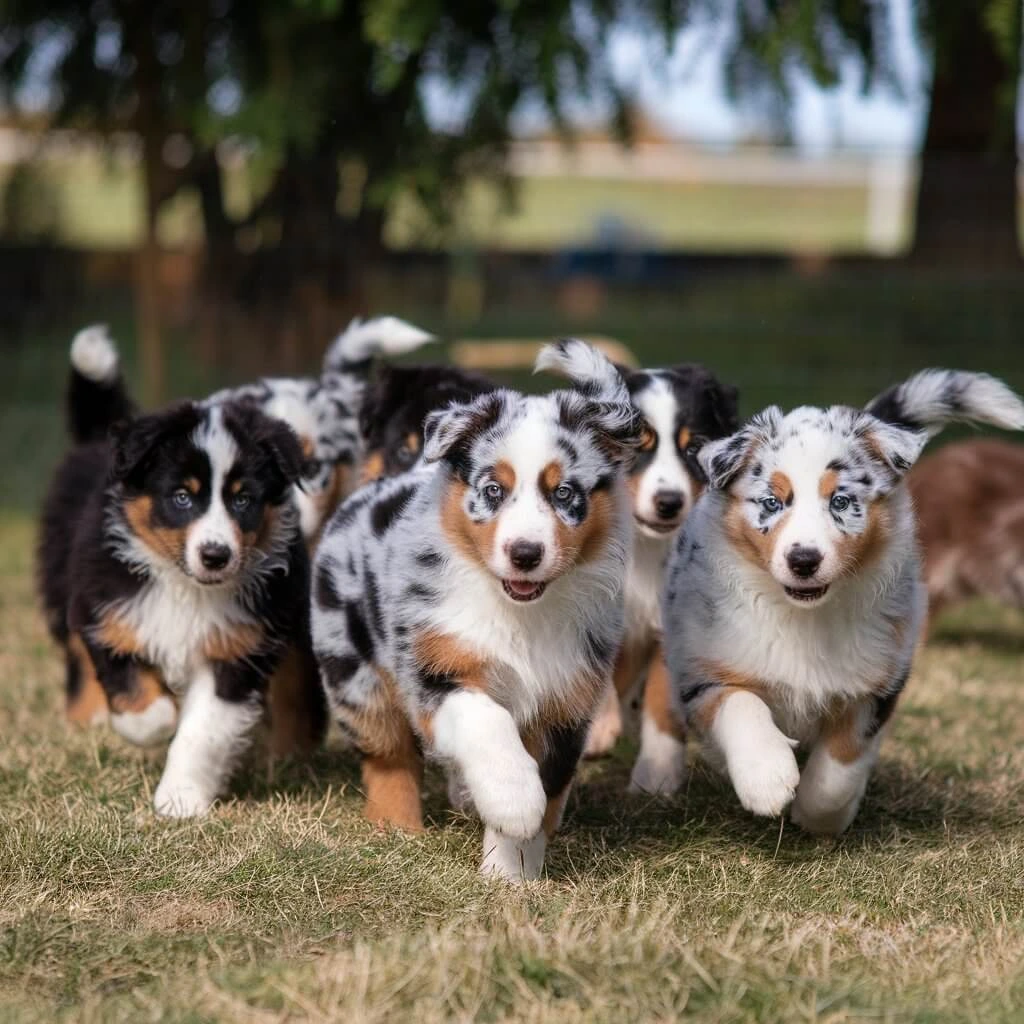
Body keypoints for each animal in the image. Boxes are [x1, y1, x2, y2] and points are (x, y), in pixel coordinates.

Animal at [38, 368, 323, 815]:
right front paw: (162, 718)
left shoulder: (238, 648)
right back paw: (89, 718)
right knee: (76, 657)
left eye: (244, 499)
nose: (216, 555)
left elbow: (203, 730)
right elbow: (139, 702)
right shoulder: (107, 611)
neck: (187, 587)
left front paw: (181, 799)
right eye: (182, 497)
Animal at [581, 366, 741, 790]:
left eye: (694, 447)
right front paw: (598, 729)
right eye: (637, 445)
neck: (645, 549)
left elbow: (662, 701)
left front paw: (656, 777)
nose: (669, 502)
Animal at [659, 372, 1019, 835]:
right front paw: (767, 780)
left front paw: (819, 817)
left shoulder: (876, 685)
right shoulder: (704, 670)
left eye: (841, 502)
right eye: (772, 502)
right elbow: (742, 706)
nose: (804, 560)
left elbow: (841, 763)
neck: (803, 615)